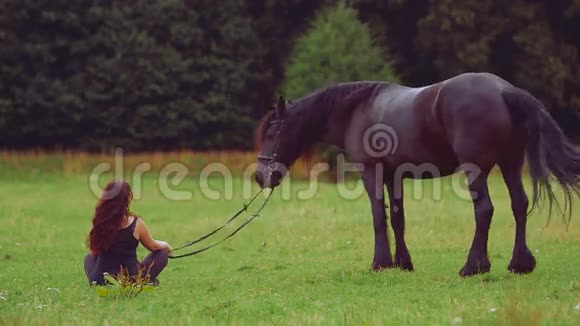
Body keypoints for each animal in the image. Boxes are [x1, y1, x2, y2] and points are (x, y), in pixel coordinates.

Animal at [255, 72, 580, 276]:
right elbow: (398, 219)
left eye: (272, 132)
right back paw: (519, 263)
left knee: (485, 210)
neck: (358, 109)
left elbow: (378, 216)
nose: (260, 176)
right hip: (510, 163)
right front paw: (403, 263)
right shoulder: (393, 176)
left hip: (476, 169)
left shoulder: (371, 172)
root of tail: (504, 90)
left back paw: (473, 266)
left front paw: (380, 263)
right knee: (520, 205)